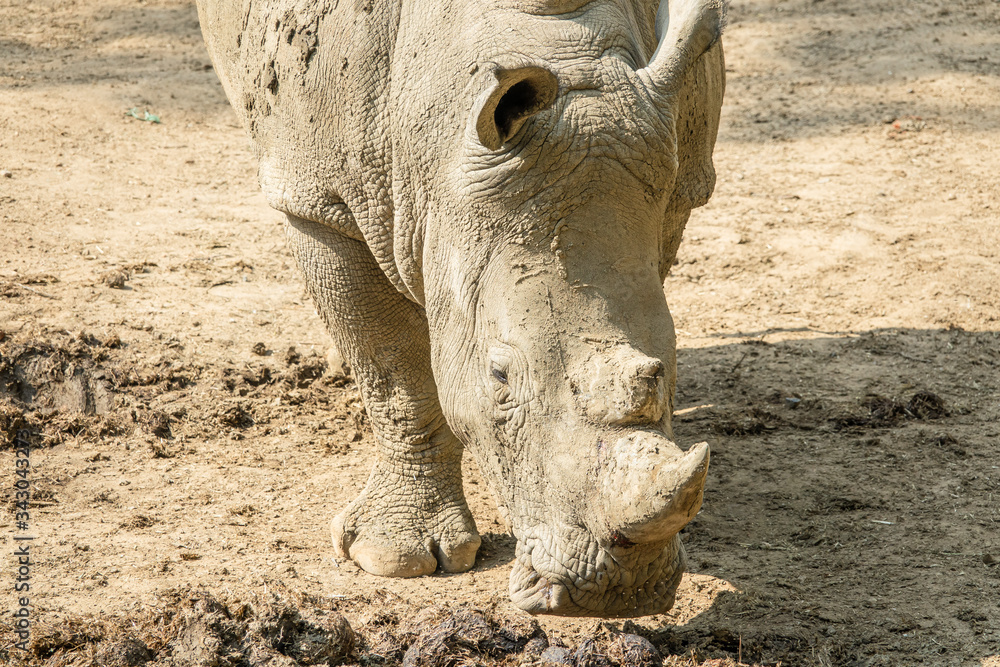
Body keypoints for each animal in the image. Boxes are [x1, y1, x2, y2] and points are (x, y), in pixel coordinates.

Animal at [196, 0, 725, 617]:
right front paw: (394, 560)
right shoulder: (319, 199)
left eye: (662, 370)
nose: (619, 592)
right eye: (499, 377)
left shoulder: (675, 177)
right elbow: (394, 373)